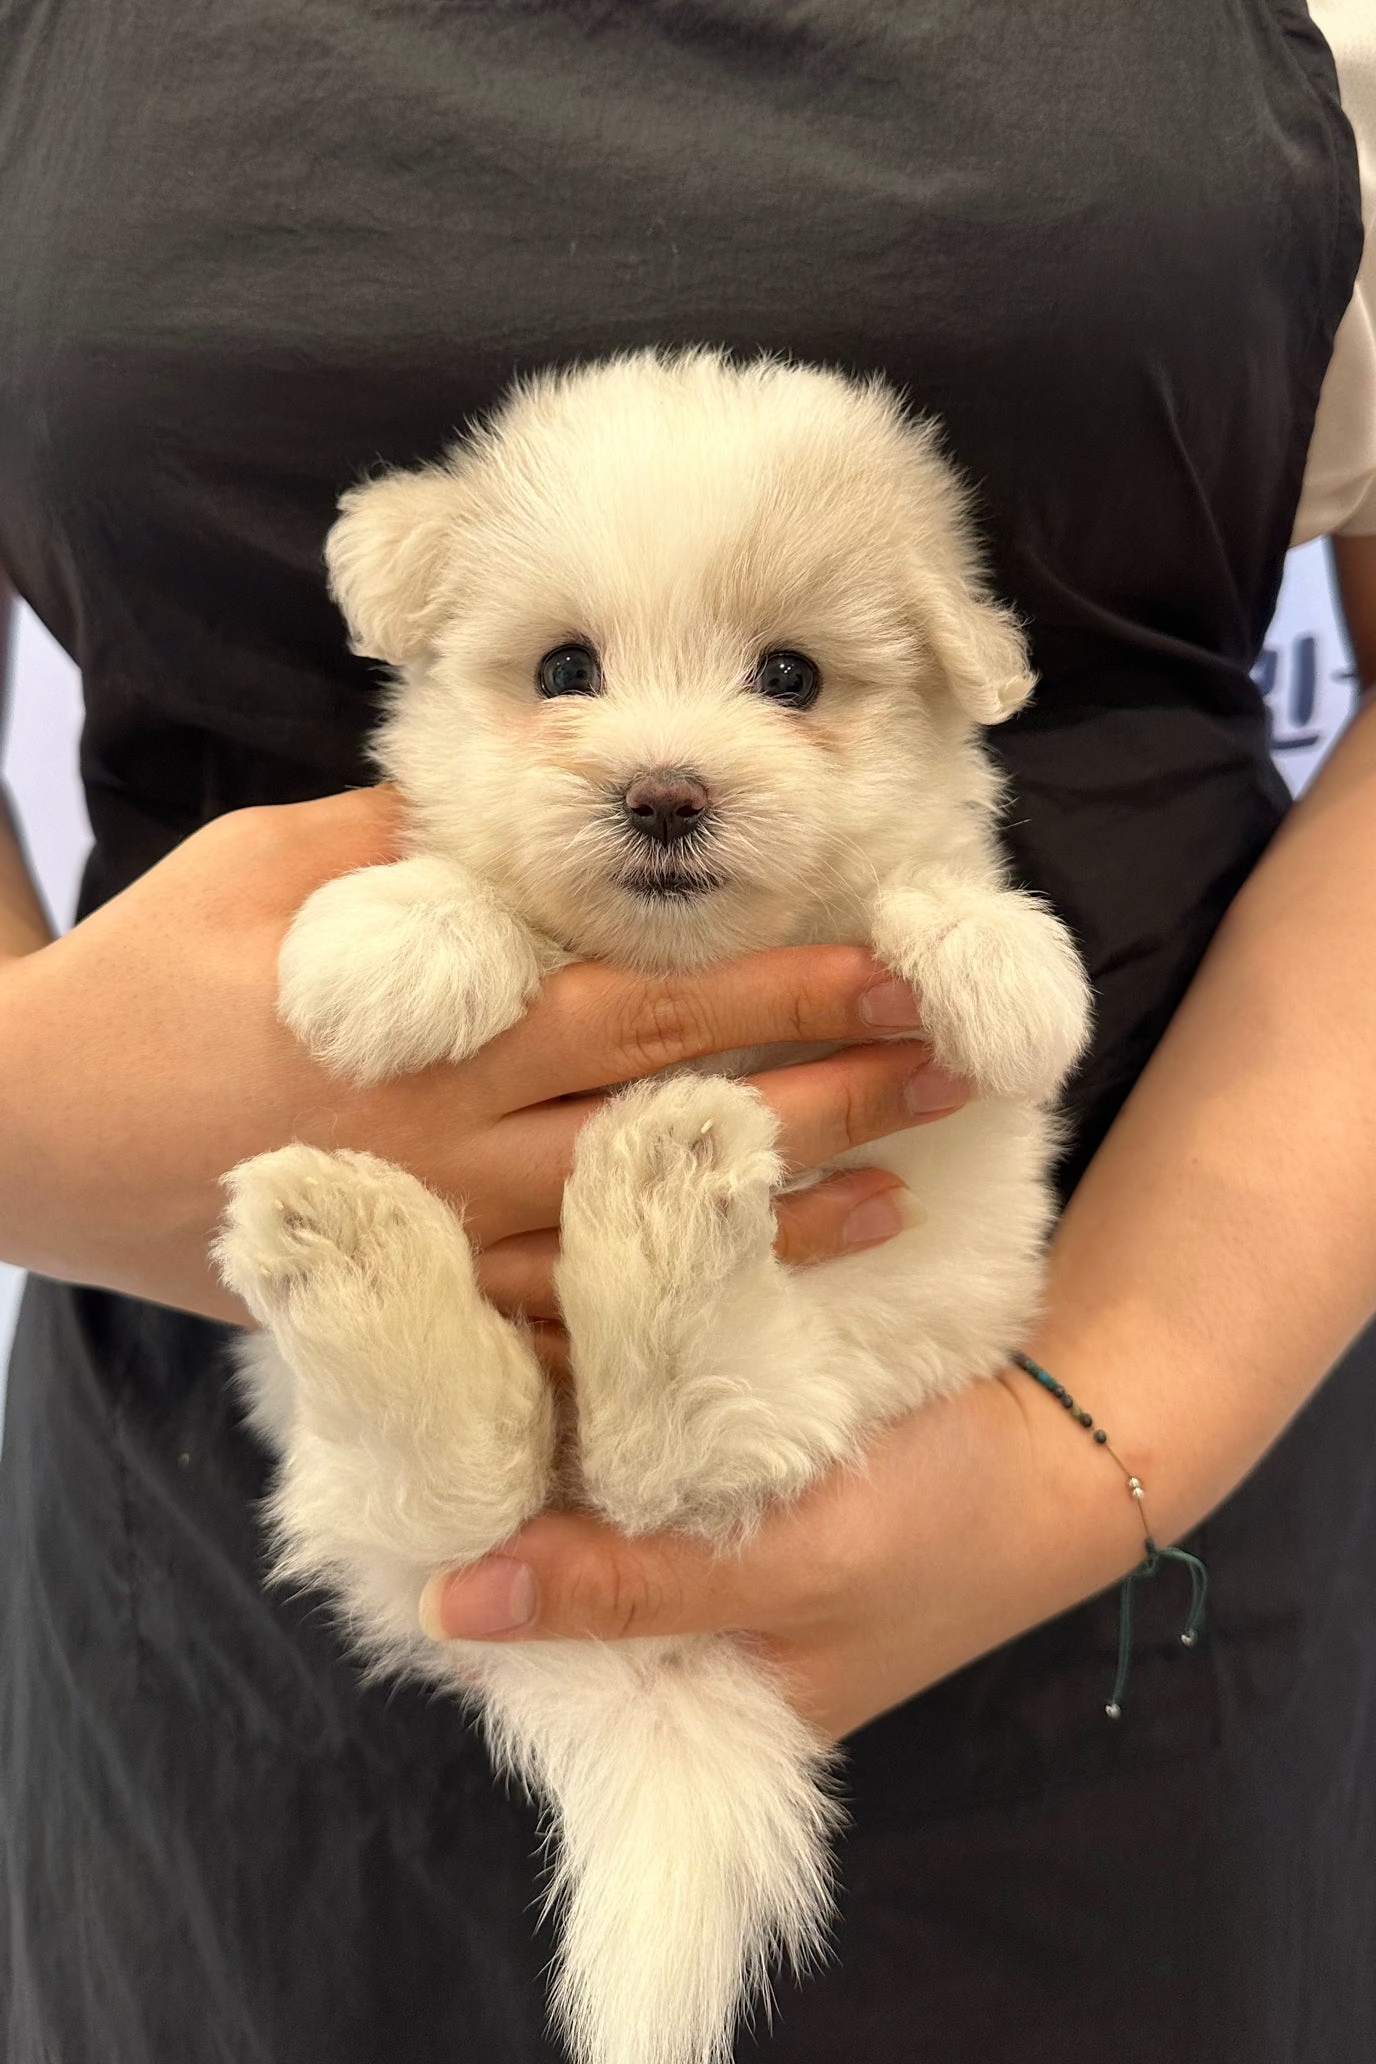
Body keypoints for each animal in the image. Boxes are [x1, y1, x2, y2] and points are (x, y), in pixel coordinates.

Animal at [215, 350, 1089, 2064]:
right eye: (564, 668)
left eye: (792, 678)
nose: (665, 794)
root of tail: (633, 1649)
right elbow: (474, 884)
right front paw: (402, 943)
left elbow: (929, 893)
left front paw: (999, 968)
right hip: (345, 1456)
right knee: (466, 1481)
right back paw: (359, 1246)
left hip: (864, 1365)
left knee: (689, 1450)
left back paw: (660, 1187)